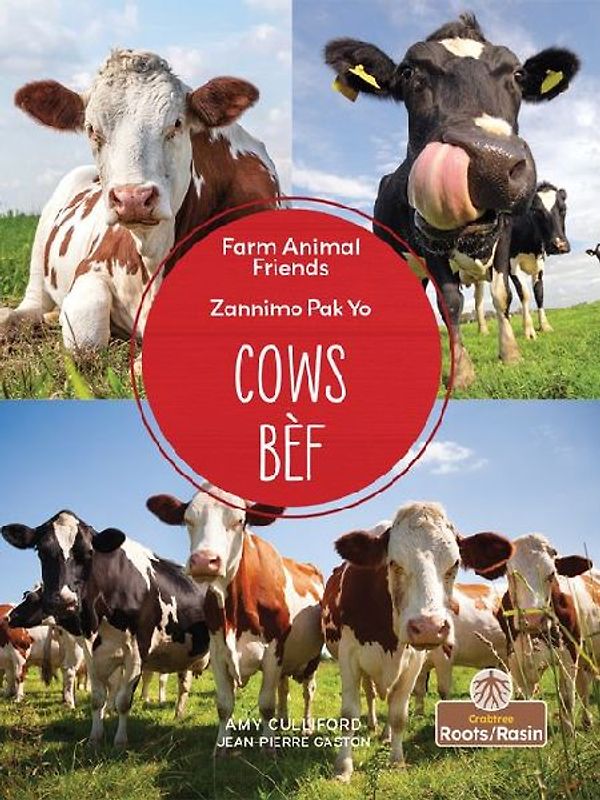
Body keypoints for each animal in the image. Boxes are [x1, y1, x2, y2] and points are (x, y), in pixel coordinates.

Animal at [0, 49, 280, 352]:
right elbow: (86, 335)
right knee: (34, 299)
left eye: (176, 123)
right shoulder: (90, 267)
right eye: (91, 129)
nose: (132, 197)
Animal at [1, 510, 210, 746]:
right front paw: (95, 738)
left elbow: (123, 700)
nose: (64, 601)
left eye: (88, 553)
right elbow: (97, 698)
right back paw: (179, 714)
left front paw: (120, 741)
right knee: (184, 684)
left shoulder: (136, 651)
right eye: (41, 551)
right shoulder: (91, 653)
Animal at [146, 484, 324, 754]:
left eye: (240, 520)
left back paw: (306, 726)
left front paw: (268, 747)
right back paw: (282, 722)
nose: (204, 560)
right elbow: (224, 705)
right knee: (284, 689)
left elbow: (266, 704)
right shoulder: (218, 653)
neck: (235, 613)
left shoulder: (273, 652)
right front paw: (221, 748)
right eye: (188, 520)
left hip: (312, 659)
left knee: (308, 692)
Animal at [474, 182, 570, 338]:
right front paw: (529, 330)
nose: (559, 245)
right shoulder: (511, 265)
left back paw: (483, 331)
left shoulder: (539, 266)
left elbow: (539, 293)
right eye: (536, 211)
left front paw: (544, 326)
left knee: (478, 301)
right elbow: (524, 294)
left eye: (563, 209)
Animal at [480, 534, 600, 732]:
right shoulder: (515, 659)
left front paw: (569, 732)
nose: (534, 619)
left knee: (583, 686)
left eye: (551, 574)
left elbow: (567, 698)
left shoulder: (569, 653)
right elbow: (525, 697)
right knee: (584, 683)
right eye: (511, 574)